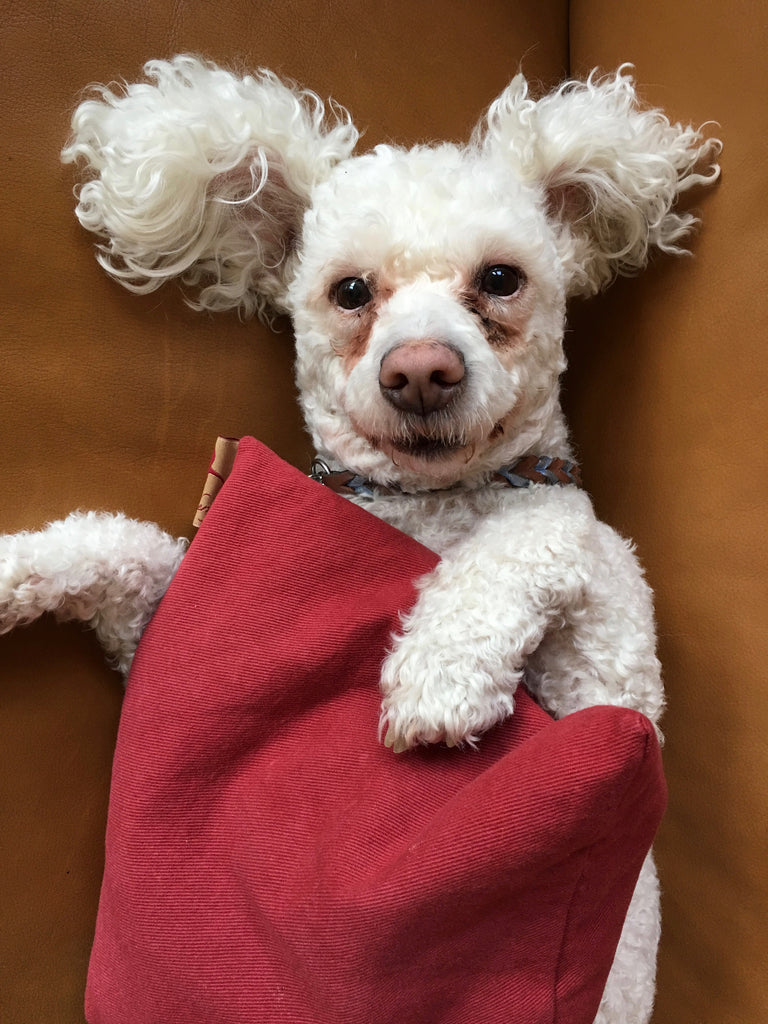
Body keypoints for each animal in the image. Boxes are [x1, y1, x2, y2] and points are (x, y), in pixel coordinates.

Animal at [0, 59, 720, 1019]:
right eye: (350, 292)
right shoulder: (150, 627)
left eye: (501, 278)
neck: (431, 505)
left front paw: (438, 673)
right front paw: (13, 568)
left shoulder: (611, 658)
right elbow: (127, 550)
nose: (420, 371)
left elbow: (542, 529)